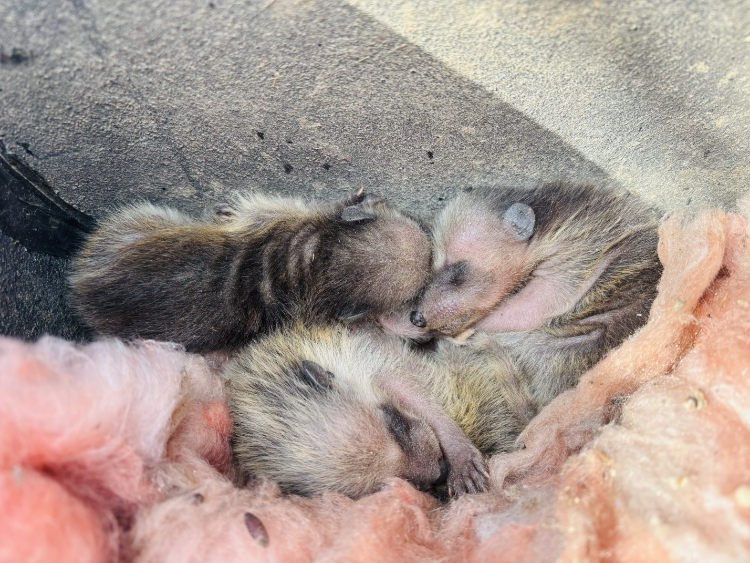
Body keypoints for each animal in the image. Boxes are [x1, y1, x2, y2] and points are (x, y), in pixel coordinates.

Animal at [225, 324, 491, 499]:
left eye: (397, 426)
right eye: (381, 485)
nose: (442, 471)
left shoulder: (369, 364)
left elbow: (413, 394)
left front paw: (462, 461)